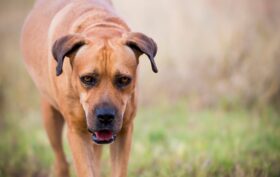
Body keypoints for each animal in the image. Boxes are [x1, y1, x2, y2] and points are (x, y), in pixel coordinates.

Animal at [20, 0, 158, 177]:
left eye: (124, 79)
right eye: (87, 79)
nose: (105, 117)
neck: (101, 25)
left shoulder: (125, 131)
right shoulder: (76, 132)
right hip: (50, 115)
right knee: (61, 160)